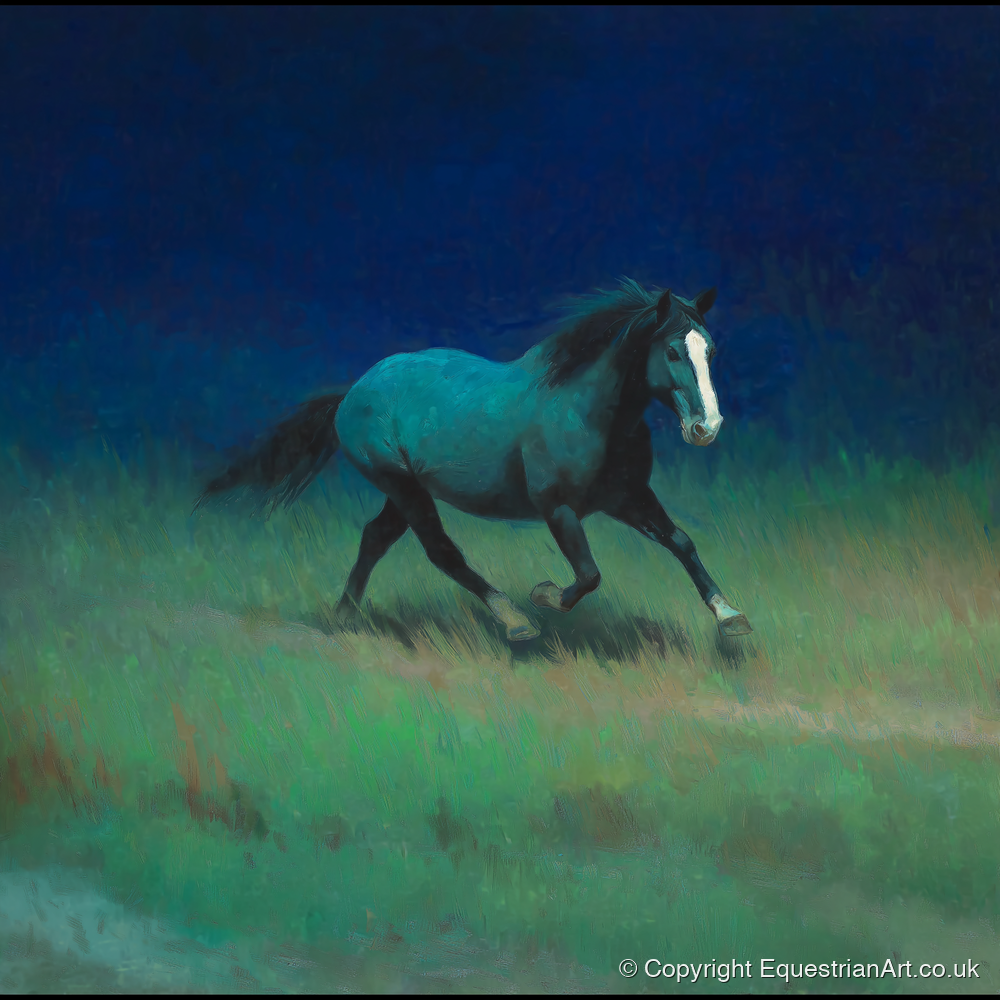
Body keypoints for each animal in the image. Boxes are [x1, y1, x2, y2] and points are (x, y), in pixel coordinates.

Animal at [195, 279, 752, 642]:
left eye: (711, 350)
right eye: (673, 353)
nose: (707, 428)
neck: (589, 410)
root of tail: (353, 390)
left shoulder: (629, 497)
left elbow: (681, 542)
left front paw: (730, 616)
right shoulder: (558, 508)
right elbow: (589, 574)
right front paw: (544, 596)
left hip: (406, 489)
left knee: (376, 538)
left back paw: (345, 615)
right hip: (401, 485)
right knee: (442, 552)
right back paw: (513, 620)